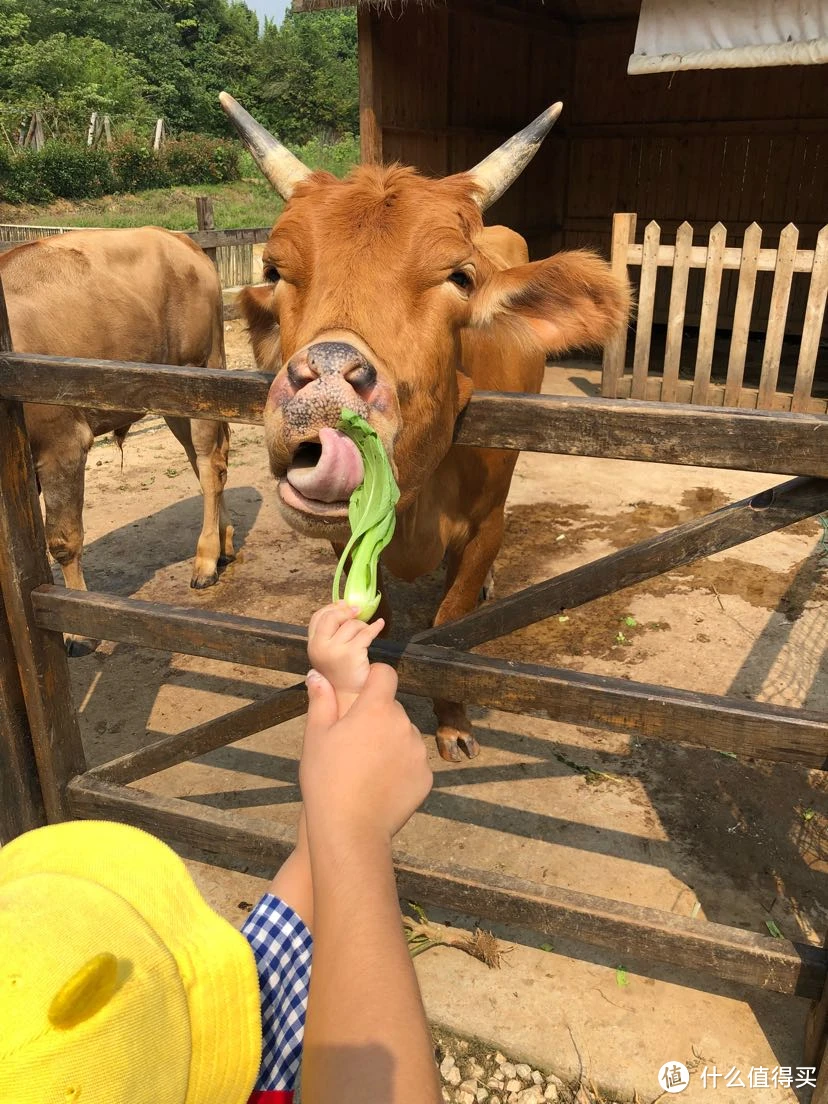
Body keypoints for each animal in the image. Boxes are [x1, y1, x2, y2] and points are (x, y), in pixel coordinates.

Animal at [4, 228, 236, 649]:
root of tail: (181, 241)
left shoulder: (61, 444)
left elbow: (63, 539)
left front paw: (78, 628)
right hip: (173, 397)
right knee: (207, 463)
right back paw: (224, 543)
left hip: (199, 372)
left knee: (210, 467)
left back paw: (206, 560)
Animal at [220, 94, 627, 759]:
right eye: (275, 270)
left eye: (460, 277)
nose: (327, 385)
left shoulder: (487, 524)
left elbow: (448, 623)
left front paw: (454, 721)